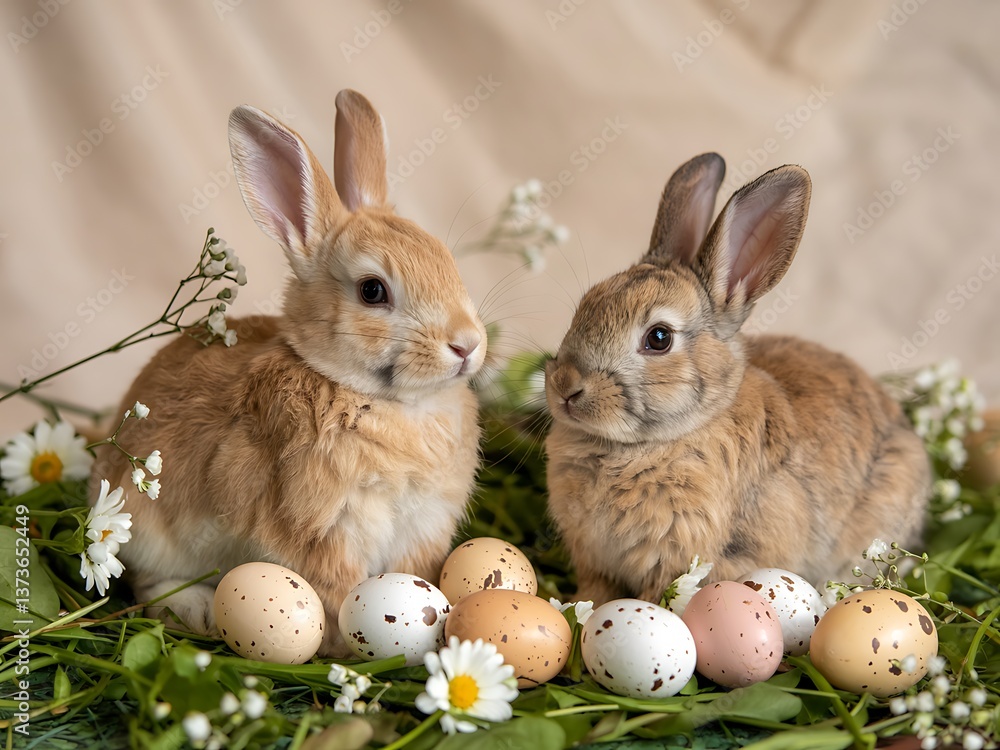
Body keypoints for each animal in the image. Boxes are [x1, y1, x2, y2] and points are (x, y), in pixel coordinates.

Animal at [91, 90, 487, 655]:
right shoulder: (323, 532)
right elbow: (336, 596)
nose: (467, 344)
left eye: (447, 261)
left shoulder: (422, 530)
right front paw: (344, 650)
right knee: (146, 582)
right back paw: (194, 609)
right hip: (149, 529)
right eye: (372, 291)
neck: (380, 400)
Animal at [544, 152, 930, 606]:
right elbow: (594, 594)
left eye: (659, 338)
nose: (565, 388)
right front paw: (573, 608)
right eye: (585, 305)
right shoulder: (595, 562)